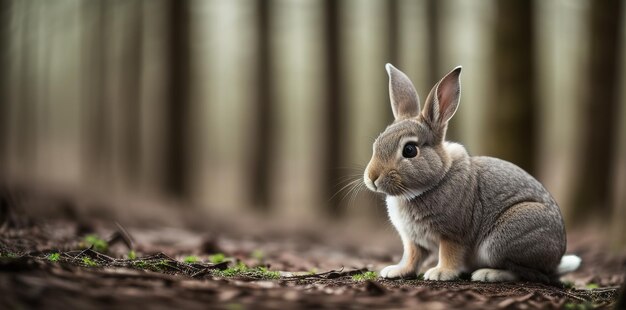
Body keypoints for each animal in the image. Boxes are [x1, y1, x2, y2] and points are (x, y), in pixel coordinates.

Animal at [364, 63, 584, 284]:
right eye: (377, 143)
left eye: (409, 150)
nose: (372, 178)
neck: (435, 180)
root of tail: (556, 260)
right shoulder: (413, 241)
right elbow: (412, 257)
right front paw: (396, 271)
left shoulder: (452, 234)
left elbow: (449, 254)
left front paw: (440, 273)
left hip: (504, 239)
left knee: (523, 272)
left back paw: (487, 274)